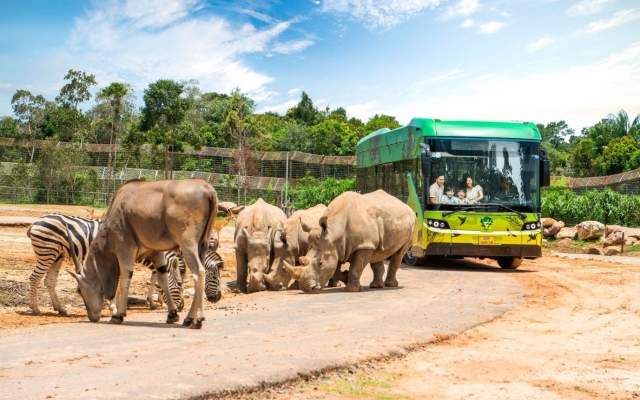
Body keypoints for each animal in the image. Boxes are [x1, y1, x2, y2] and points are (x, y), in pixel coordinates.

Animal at [26, 214, 182, 318]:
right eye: (180, 284)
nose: (181, 307)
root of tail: (36, 221)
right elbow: (119, 285)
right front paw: (115, 308)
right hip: (47, 252)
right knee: (34, 278)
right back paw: (35, 309)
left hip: (57, 255)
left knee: (50, 281)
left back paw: (60, 309)